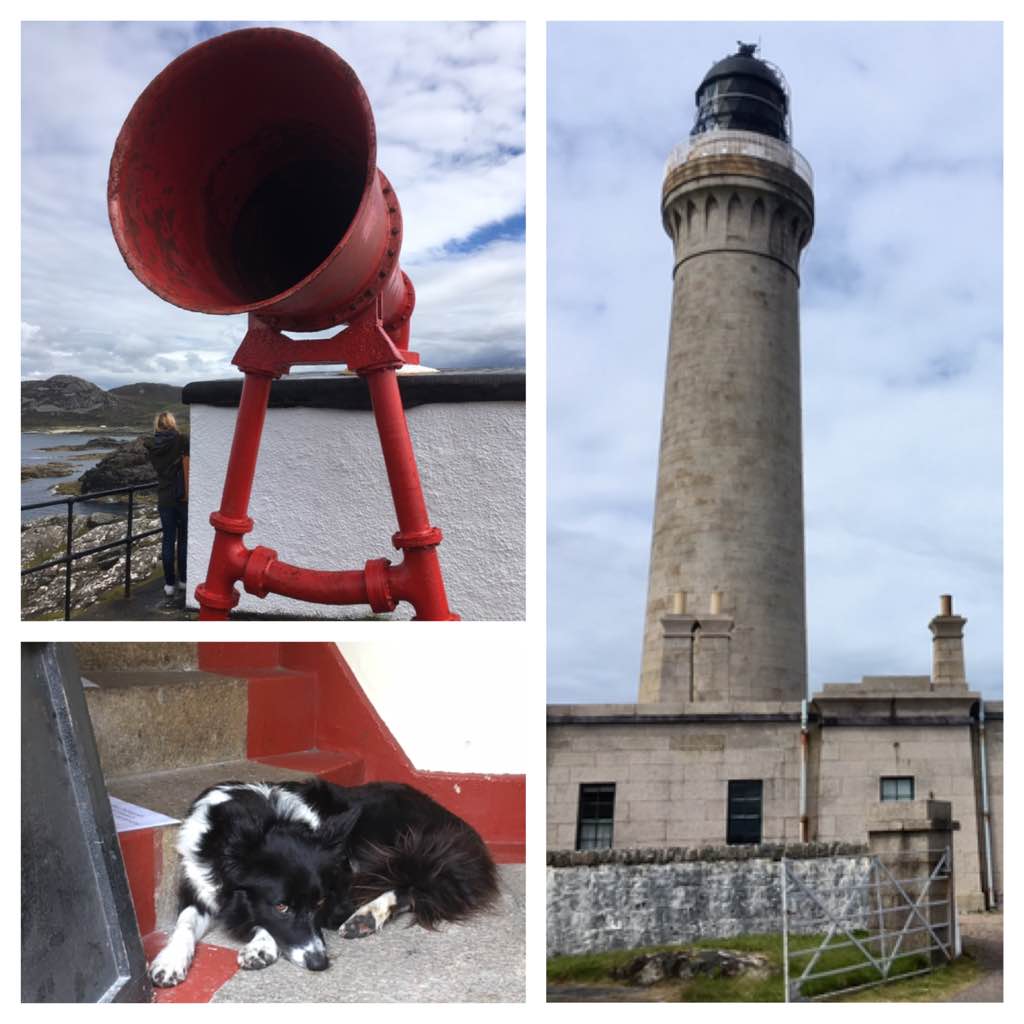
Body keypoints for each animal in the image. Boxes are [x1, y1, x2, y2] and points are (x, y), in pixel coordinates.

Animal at [149, 778, 497, 987]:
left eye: (319, 902)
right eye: (281, 905)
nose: (320, 963)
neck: (267, 820)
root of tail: (457, 826)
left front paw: (261, 945)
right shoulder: (198, 886)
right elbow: (184, 923)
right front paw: (170, 960)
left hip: (397, 846)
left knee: (413, 881)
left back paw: (366, 916)